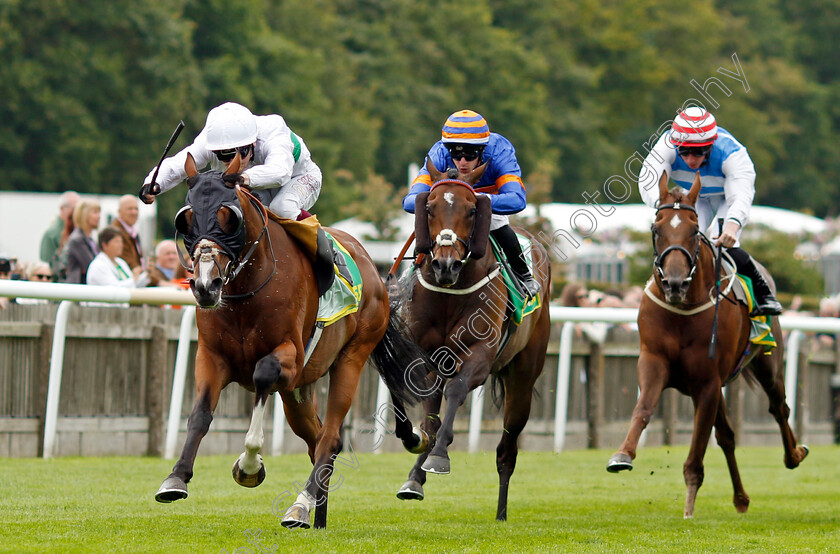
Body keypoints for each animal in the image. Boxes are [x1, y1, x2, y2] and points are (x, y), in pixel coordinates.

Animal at [153, 152, 426, 528]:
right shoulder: (212, 357)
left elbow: (262, 375)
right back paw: (317, 512)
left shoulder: (289, 357)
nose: (206, 285)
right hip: (300, 391)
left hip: (350, 359)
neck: (245, 290)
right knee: (319, 438)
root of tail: (376, 270)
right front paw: (176, 477)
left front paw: (250, 465)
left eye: (229, 217)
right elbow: (199, 414)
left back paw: (301, 504)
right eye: (186, 218)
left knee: (330, 437)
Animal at [388, 158, 552, 516]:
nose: (445, 264)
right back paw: (416, 477)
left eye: (473, 209)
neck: (450, 292)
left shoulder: (480, 354)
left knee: (507, 450)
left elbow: (457, 389)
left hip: (522, 378)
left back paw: (501, 513)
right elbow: (420, 407)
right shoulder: (423, 354)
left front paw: (439, 456)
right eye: (429, 208)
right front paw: (414, 451)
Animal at [608, 170, 812, 516]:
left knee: (779, 407)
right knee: (728, 436)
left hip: (767, 363)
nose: (674, 284)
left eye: (694, 231)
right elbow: (643, 409)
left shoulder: (707, 382)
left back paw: (794, 454)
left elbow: (697, 452)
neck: (682, 310)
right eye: (656, 228)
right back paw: (741, 498)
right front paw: (622, 455)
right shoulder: (654, 362)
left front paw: (689, 510)